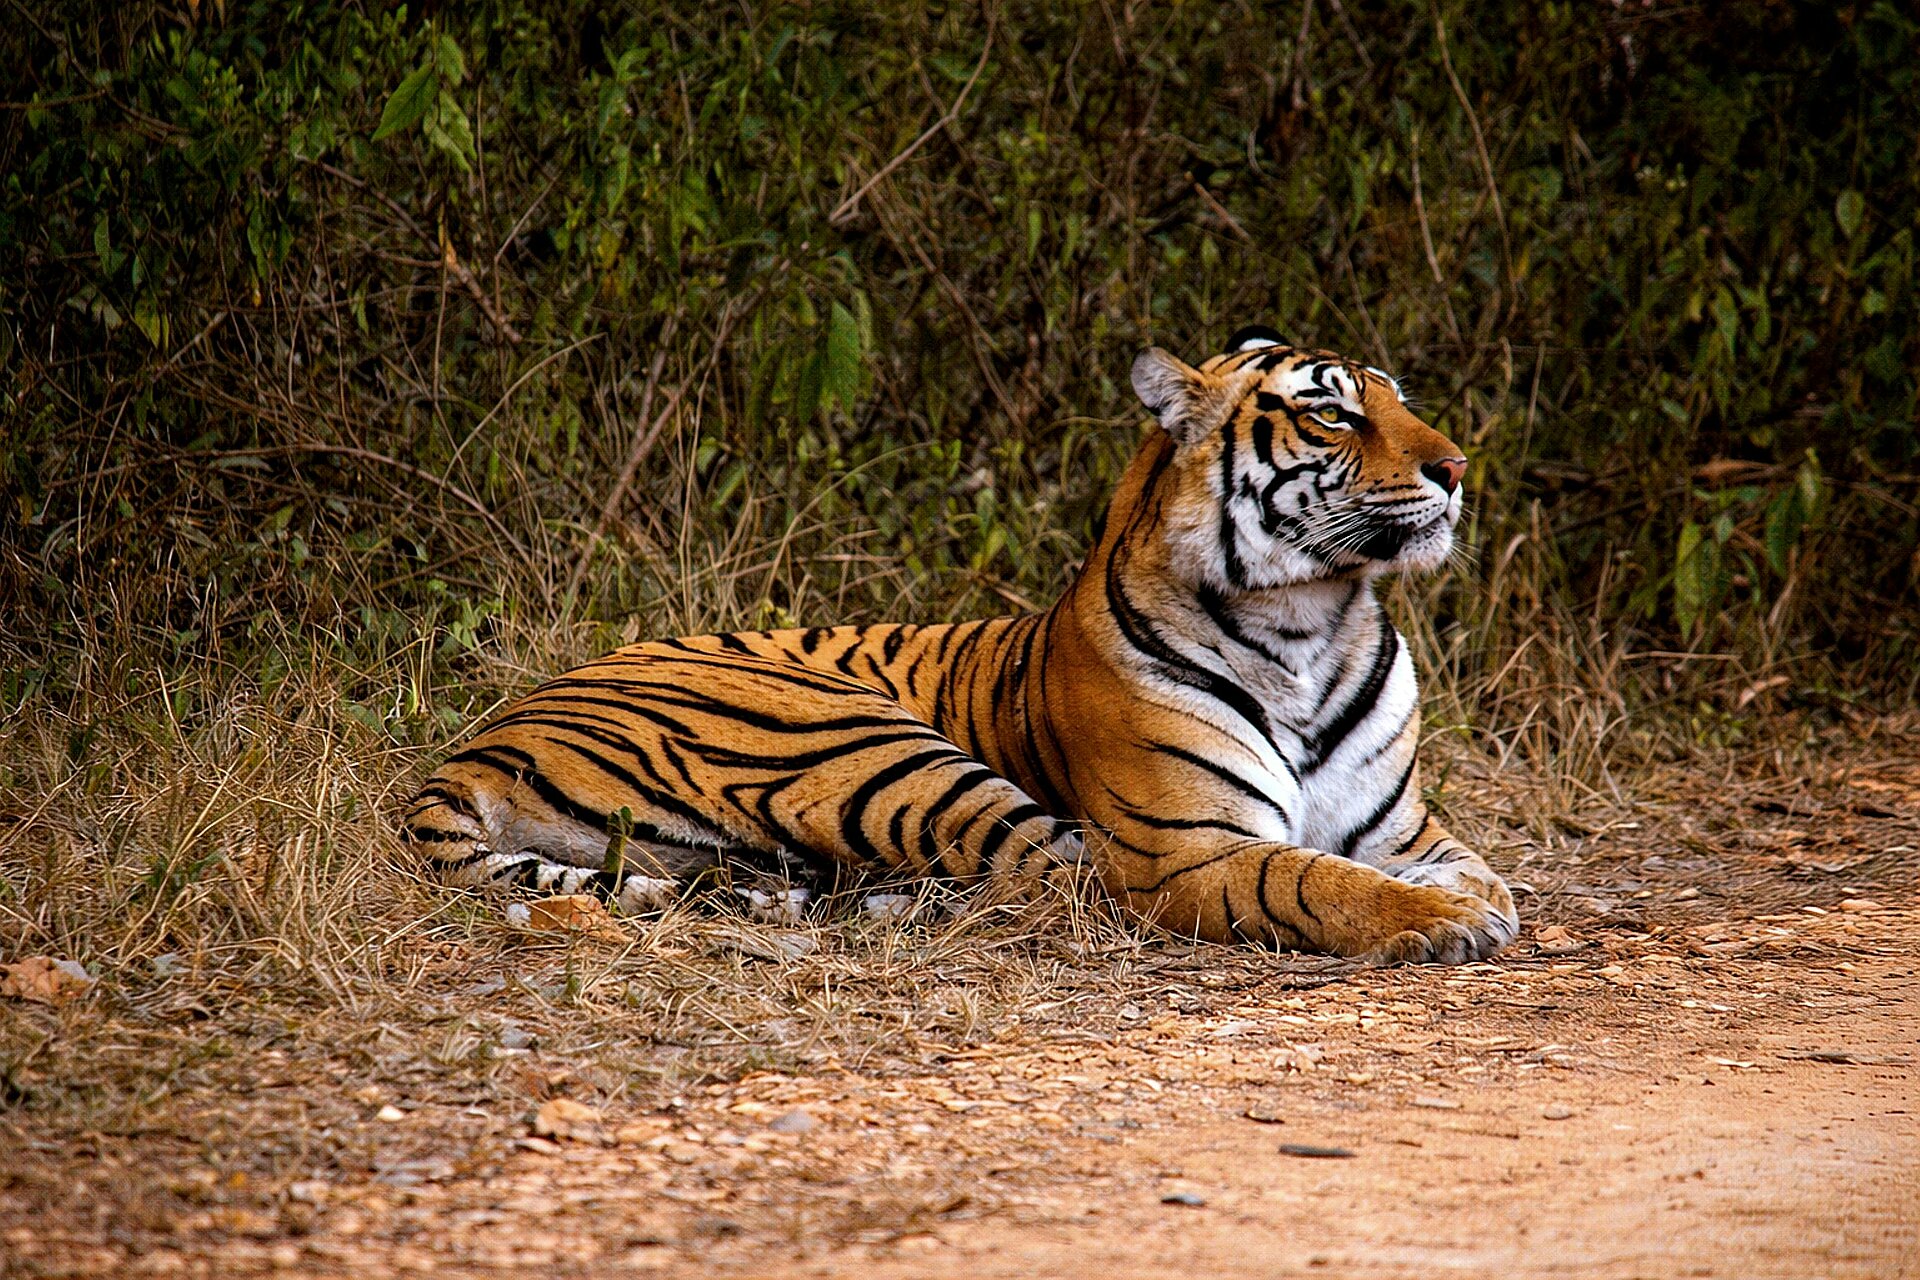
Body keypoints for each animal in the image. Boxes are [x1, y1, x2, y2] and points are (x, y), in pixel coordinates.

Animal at [404, 327, 1519, 963]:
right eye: (1333, 412)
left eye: (1401, 400)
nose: (1459, 466)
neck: (1310, 624)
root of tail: (478, 742)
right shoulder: (1186, 847)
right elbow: (1310, 876)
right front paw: (1438, 925)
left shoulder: (1405, 832)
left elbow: (1474, 869)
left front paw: (1476, 904)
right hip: (870, 740)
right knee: (1052, 878)